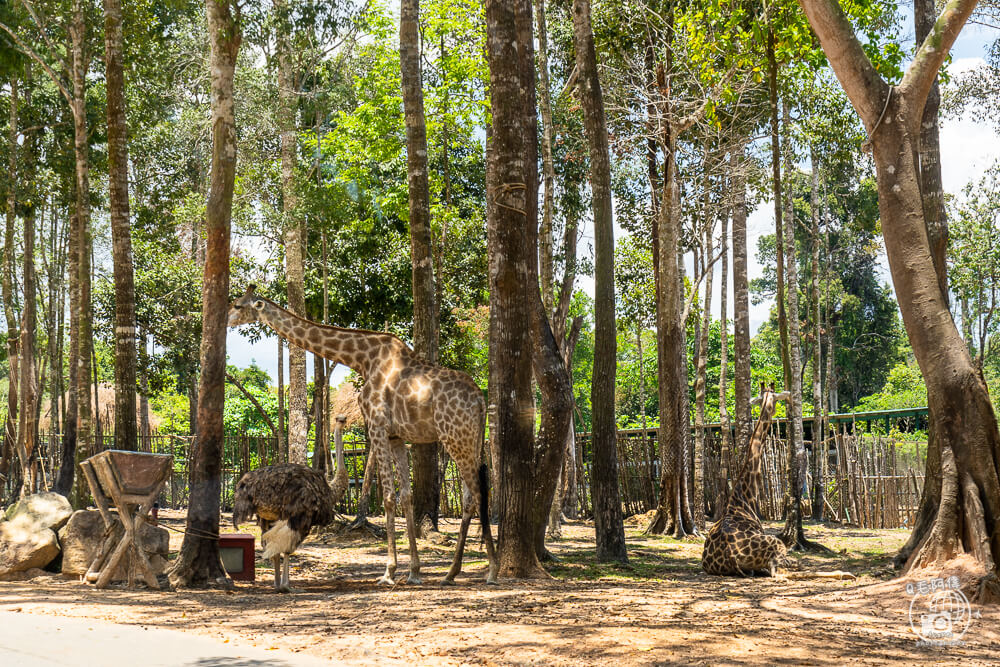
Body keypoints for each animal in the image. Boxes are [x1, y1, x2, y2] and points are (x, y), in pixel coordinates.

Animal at [229, 286, 498, 584]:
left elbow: (389, 497)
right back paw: (452, 572)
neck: (362, 360)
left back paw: (489, 570)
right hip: (470, 440)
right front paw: (413, 571)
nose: (228, 321)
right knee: (470, 496)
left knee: (478, 493)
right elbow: (406, 496)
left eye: (238, 305)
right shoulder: (396, 436)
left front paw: (389, 571)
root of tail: (480, 400)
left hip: (455, 437)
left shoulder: (377, 427)